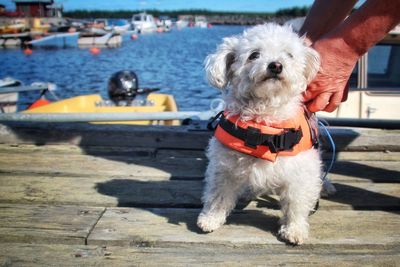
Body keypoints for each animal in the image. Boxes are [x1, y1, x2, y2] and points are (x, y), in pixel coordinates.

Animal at [198, 23, 328, 245]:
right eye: (254, 55)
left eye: (289, 54)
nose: (275, 65)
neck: (264, 119)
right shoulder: (224, 168)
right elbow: (218, 195)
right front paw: (210, 219)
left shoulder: (300, 173)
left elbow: (296, 203)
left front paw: (294, 229)